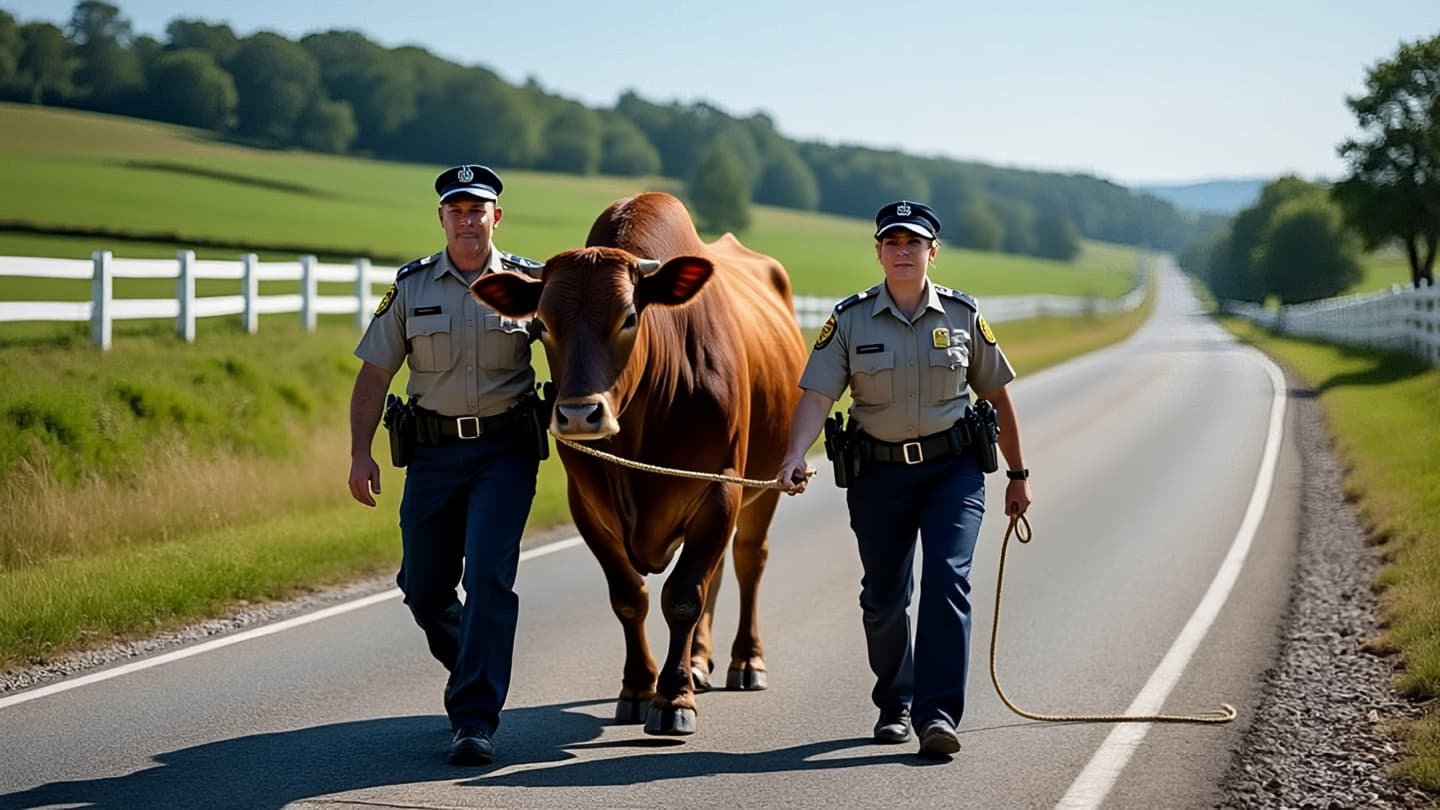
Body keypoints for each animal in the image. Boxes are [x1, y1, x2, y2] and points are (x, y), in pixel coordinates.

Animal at [470, 192, 807, 736]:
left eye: (628, 317)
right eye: (541, 325)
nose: (578, 414)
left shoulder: (720, 487)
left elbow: (683, 594)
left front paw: (673, 699)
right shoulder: (587, 505)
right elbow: (630, 596)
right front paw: (638, 687)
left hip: (766, 487)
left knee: (747, 561)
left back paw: (745, 660)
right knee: (715, 575)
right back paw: (698, 661)